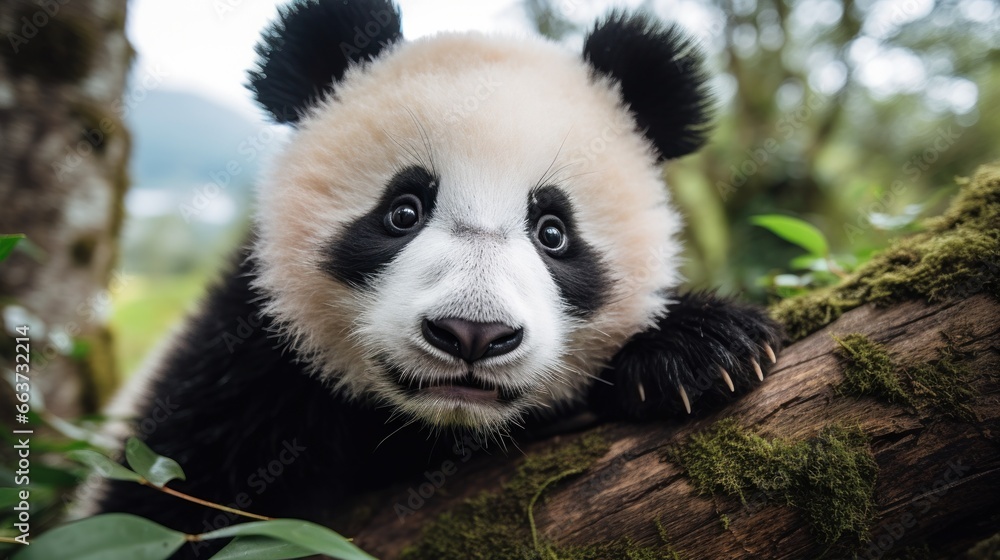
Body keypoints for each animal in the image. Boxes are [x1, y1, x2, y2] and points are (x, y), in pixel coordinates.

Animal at [88, 0, 780, 556]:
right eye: (403, 212)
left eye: (553, 232)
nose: (472, 334)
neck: (430, 432)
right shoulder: (239, 367)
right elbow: (169, 509)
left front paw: (699, 351)